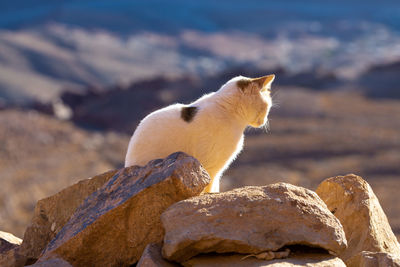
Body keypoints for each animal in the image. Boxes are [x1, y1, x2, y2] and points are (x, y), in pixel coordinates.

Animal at [125, 74, 276, 194]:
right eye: (266, 107)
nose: (264, 121)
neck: (227, 110)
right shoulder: (210, 166)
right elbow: (209, 187)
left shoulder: (217, 170)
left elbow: (215, 187)